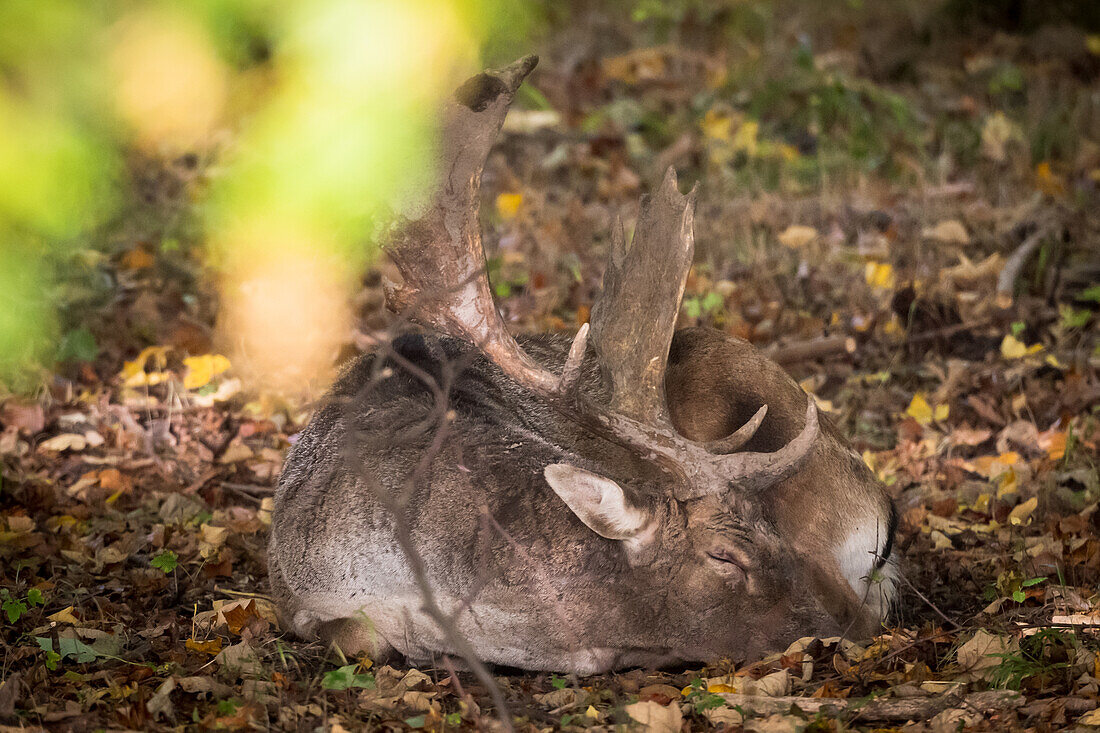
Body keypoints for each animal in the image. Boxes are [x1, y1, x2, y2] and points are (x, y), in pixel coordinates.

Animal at [268, 54, 893, 669]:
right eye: (725, 556)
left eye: (770, 530)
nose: (851, 629)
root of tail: (882, 511)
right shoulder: (295, 594)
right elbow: (361, 637)